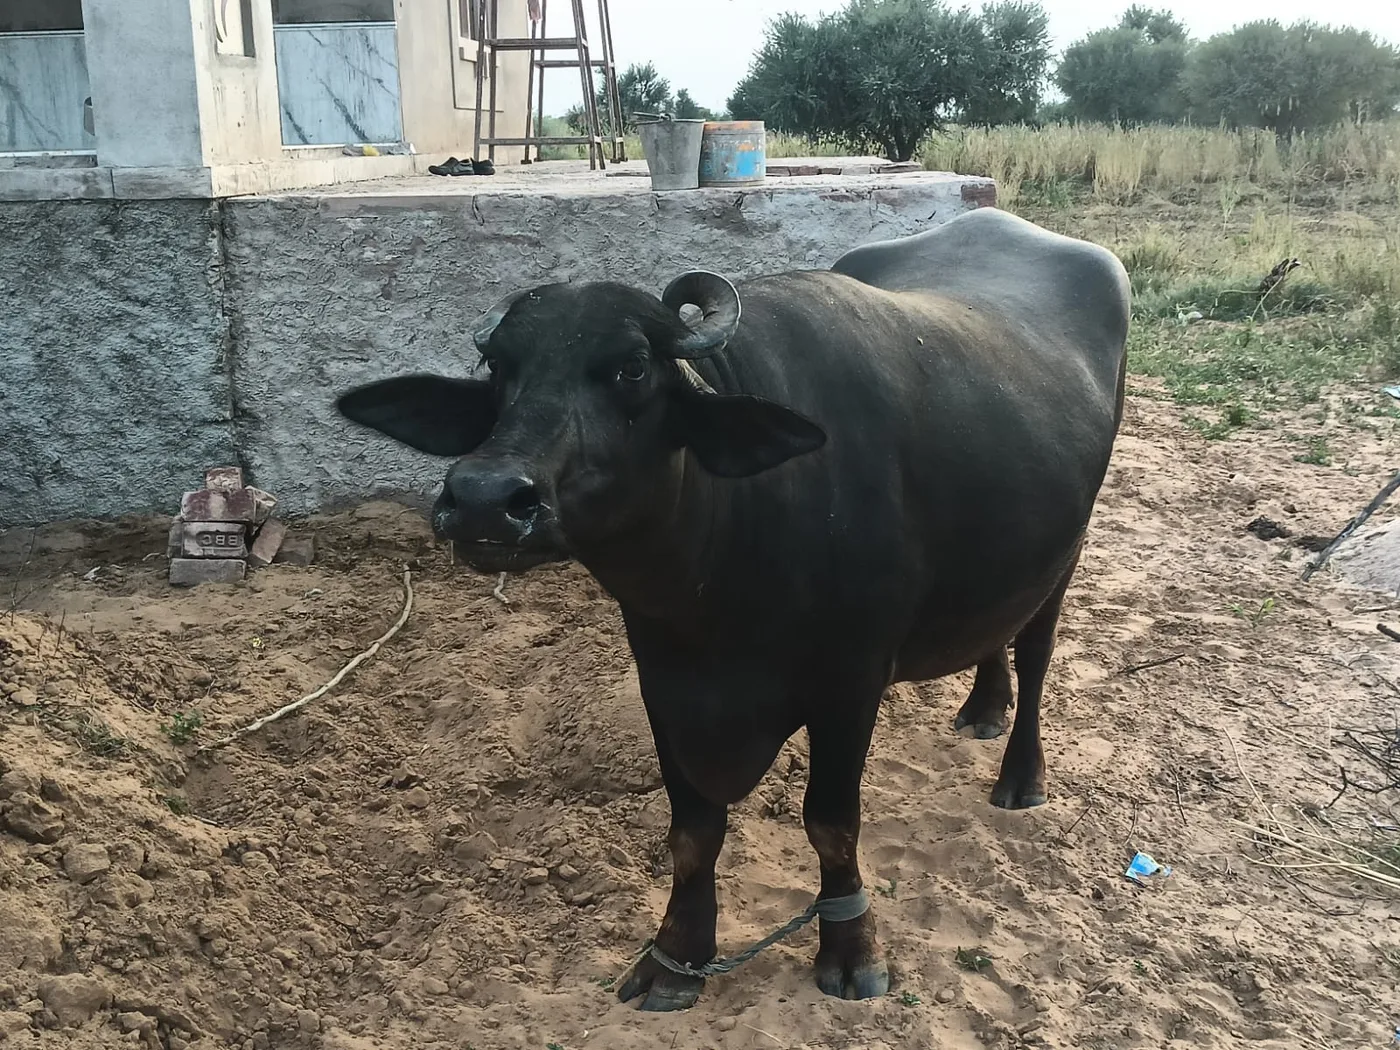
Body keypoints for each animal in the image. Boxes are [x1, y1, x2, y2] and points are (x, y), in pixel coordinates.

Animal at [335, 206, 1131, 1011]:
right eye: (501, 368)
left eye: (632, 368)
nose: (485, 500)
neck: (720, 593)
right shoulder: (665, 682)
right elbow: (692, 833)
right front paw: (676, 955)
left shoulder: (850, 686)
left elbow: (831, 825)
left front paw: (851, 952)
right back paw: (982, 708)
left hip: (1068, 550)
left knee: (1036, 653)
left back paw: (1021, 776)